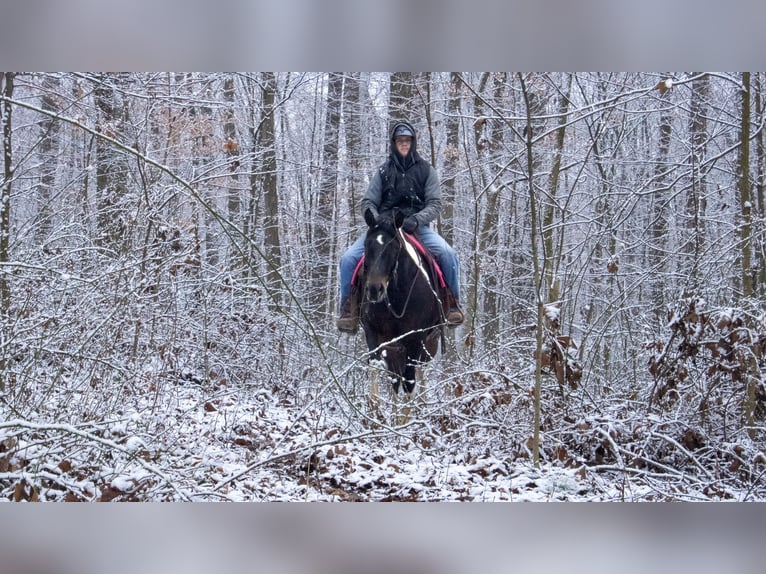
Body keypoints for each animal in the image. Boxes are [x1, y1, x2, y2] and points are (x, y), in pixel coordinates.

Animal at [360, 209, 444, 402]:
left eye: (393, 247)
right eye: (367, 245)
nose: (374, 289)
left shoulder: (415, 338)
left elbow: (409, 382)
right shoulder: (372, 331)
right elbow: (375, 368)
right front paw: (374, 410)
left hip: (427, 344)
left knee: (418, 373)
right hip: (393, 348)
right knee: (394, 379)